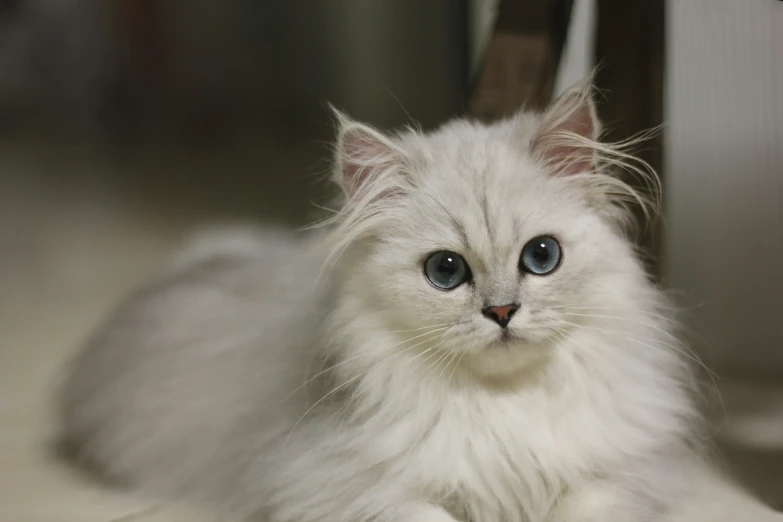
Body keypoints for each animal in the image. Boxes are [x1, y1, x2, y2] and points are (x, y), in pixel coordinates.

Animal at [58, 83, 704, 516]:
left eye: (541, 257)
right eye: (446, 271)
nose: (501, 313)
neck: (498, 405)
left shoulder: (618, 475)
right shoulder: (344, 485)